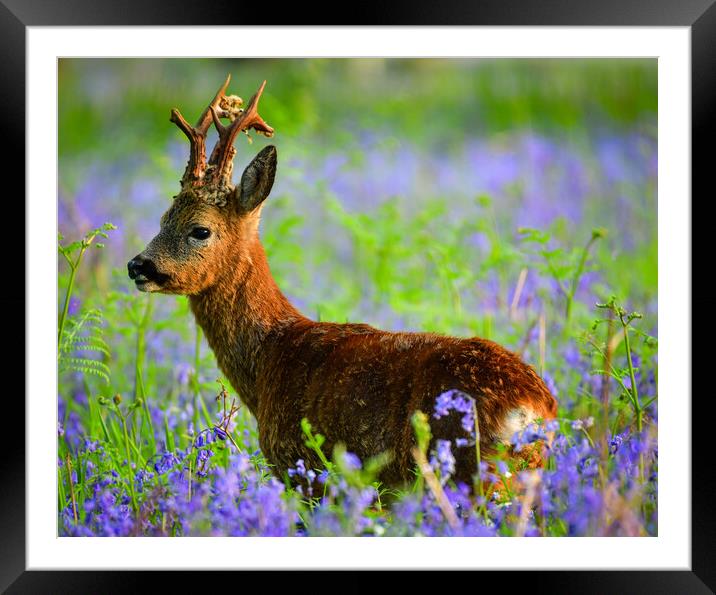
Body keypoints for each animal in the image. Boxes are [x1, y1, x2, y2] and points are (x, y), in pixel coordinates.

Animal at [129, 75, 560, 488]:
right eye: (163, 218)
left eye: (200, 230)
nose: (138, 266)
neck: (271, 355)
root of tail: (535, 410)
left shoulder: (302, 468)